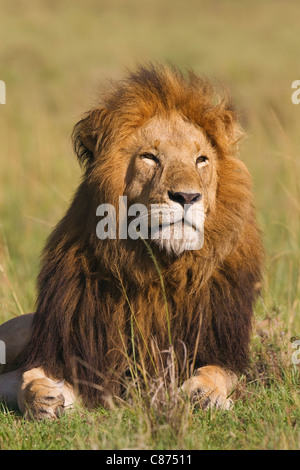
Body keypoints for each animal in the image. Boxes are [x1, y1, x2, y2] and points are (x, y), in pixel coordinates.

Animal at [0, 63, 262, 418]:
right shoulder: (73, 354)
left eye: (202, 160)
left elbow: (216, 372)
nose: (187, 196)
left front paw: (203, 394)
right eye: (150, 157)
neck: (159, 267)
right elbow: (30, 376)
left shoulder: (220, 349)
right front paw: (43, 397)